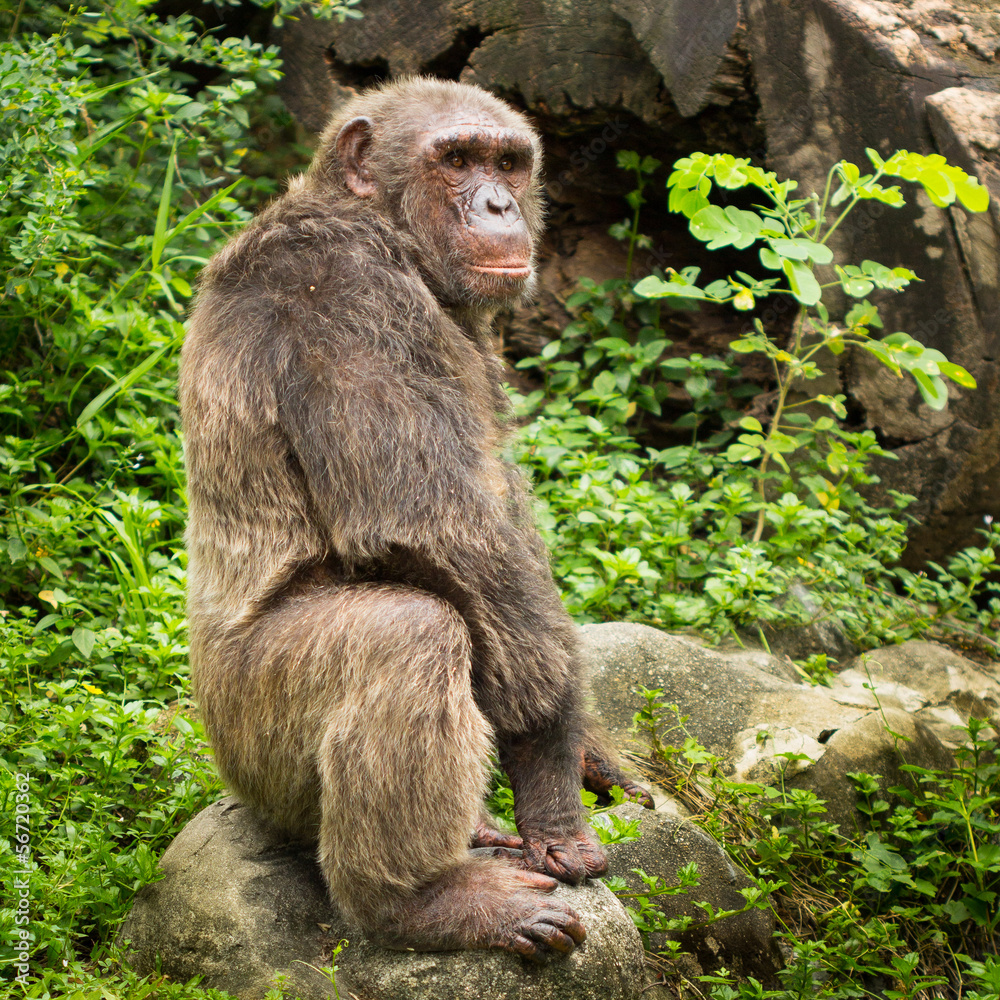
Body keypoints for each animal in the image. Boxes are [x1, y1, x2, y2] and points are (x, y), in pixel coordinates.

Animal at [180, 76, 652, 964]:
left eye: (507, 161)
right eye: (456, 159)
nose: (498, 203)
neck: (383, 229)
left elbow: (501, 507)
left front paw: (592, 752)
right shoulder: (345, 295)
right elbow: (436, 526)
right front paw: (553, 780)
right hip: (251, 740)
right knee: (408, 634)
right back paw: (420, 901)